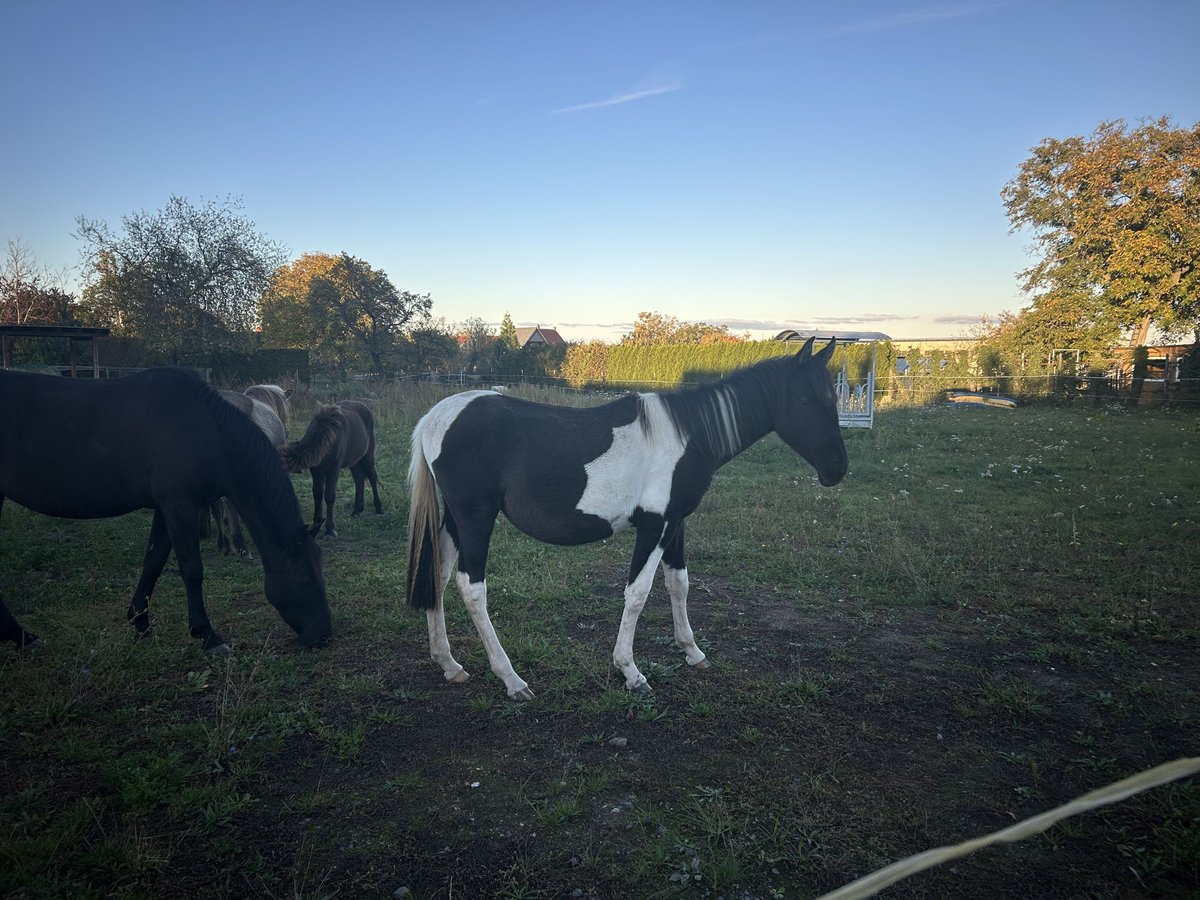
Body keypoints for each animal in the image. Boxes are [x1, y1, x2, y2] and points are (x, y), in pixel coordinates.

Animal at [0, 367, 332, 653]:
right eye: (307, 577)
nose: (324, 634)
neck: (203, 430)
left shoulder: (165, 510)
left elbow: (153, 563)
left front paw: (141, 622)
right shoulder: (179, 507)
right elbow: (192, 570)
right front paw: (207, 635)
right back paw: (22, 637)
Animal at [282, 400, 383, 538]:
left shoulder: (333, 469)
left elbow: (329, 496)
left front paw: (329, 530)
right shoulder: (316, 470)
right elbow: (317, 494)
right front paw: (316, 523)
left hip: (368, 454)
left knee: (372, 476)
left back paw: (378, 508)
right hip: (354, 461)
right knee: (359, 479)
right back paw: (357, 510)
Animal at [406, 336, 848, 701]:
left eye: (832, 399)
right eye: (805, 400)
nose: (838, 469)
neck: (688, 436)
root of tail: (434, 419)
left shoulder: (675, 523)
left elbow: (679, 584)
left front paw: (693, 651)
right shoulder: (655, 526)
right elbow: (638, 593)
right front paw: (631, 672)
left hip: (456, 520)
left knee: (438, 574)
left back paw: (449, 664)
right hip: (476, 518)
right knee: (471, 587)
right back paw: (512, 680)